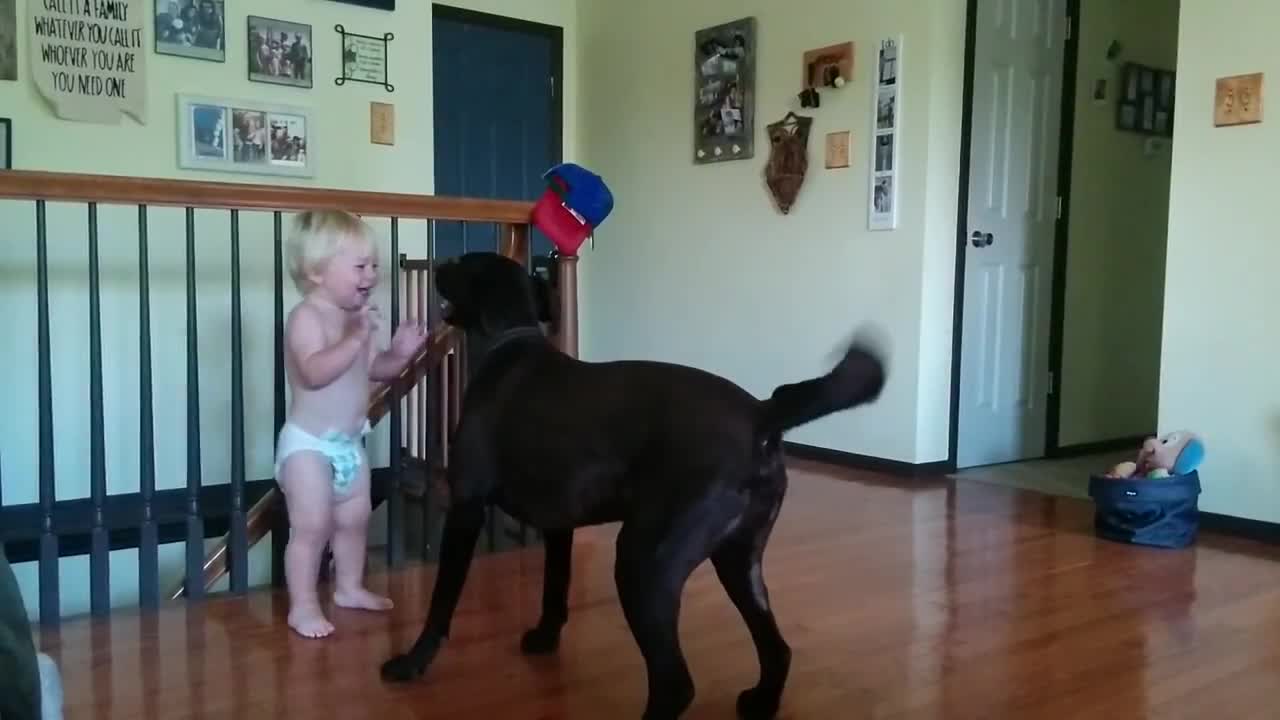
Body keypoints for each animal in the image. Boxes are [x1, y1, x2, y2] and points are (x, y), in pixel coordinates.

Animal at [378, 249, 880, 712]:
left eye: (462, 262)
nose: (438, 263)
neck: (509, 341)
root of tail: (761, 413)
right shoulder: (559, 524)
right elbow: (554, 586)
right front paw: (545, 637)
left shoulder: (465, 508)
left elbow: (442, 600)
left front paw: (412, 662)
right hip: (739, 560)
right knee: (777, 649)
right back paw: (761, 701)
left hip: (644, 562)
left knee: (675, 684)